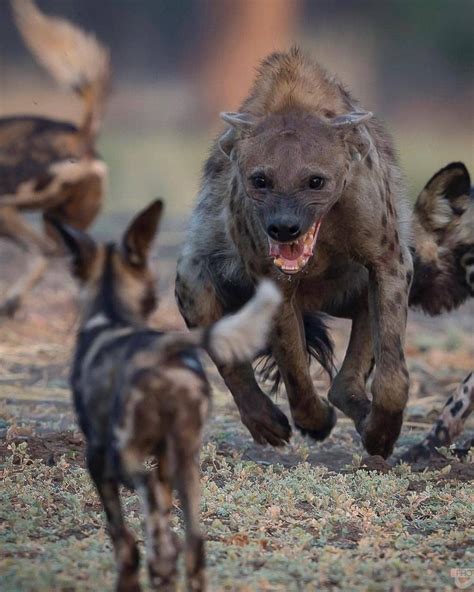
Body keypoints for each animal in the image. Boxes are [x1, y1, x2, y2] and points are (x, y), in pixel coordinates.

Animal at [51, 200, 282, 592]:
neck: (111, 314)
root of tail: (164, 350)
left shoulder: (97, 458)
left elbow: (121, 536)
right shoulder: (163, 459)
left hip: (123, 453)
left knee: (150, 503)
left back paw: (160, 558)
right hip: (186, 460)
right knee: (194, 541)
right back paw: (170, 563)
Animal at [175, 48, 474, 460]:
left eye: (315, 181)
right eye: (260, 180)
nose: (284, 227)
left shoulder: (389, 261)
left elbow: (392, 373)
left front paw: (382, 434)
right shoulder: (273, 284)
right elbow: (295, 371)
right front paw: (315, 424)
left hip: (359, 290)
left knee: (346, 380)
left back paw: (363, 419)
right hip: (192, 278)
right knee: (230, 357)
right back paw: (267, 423)